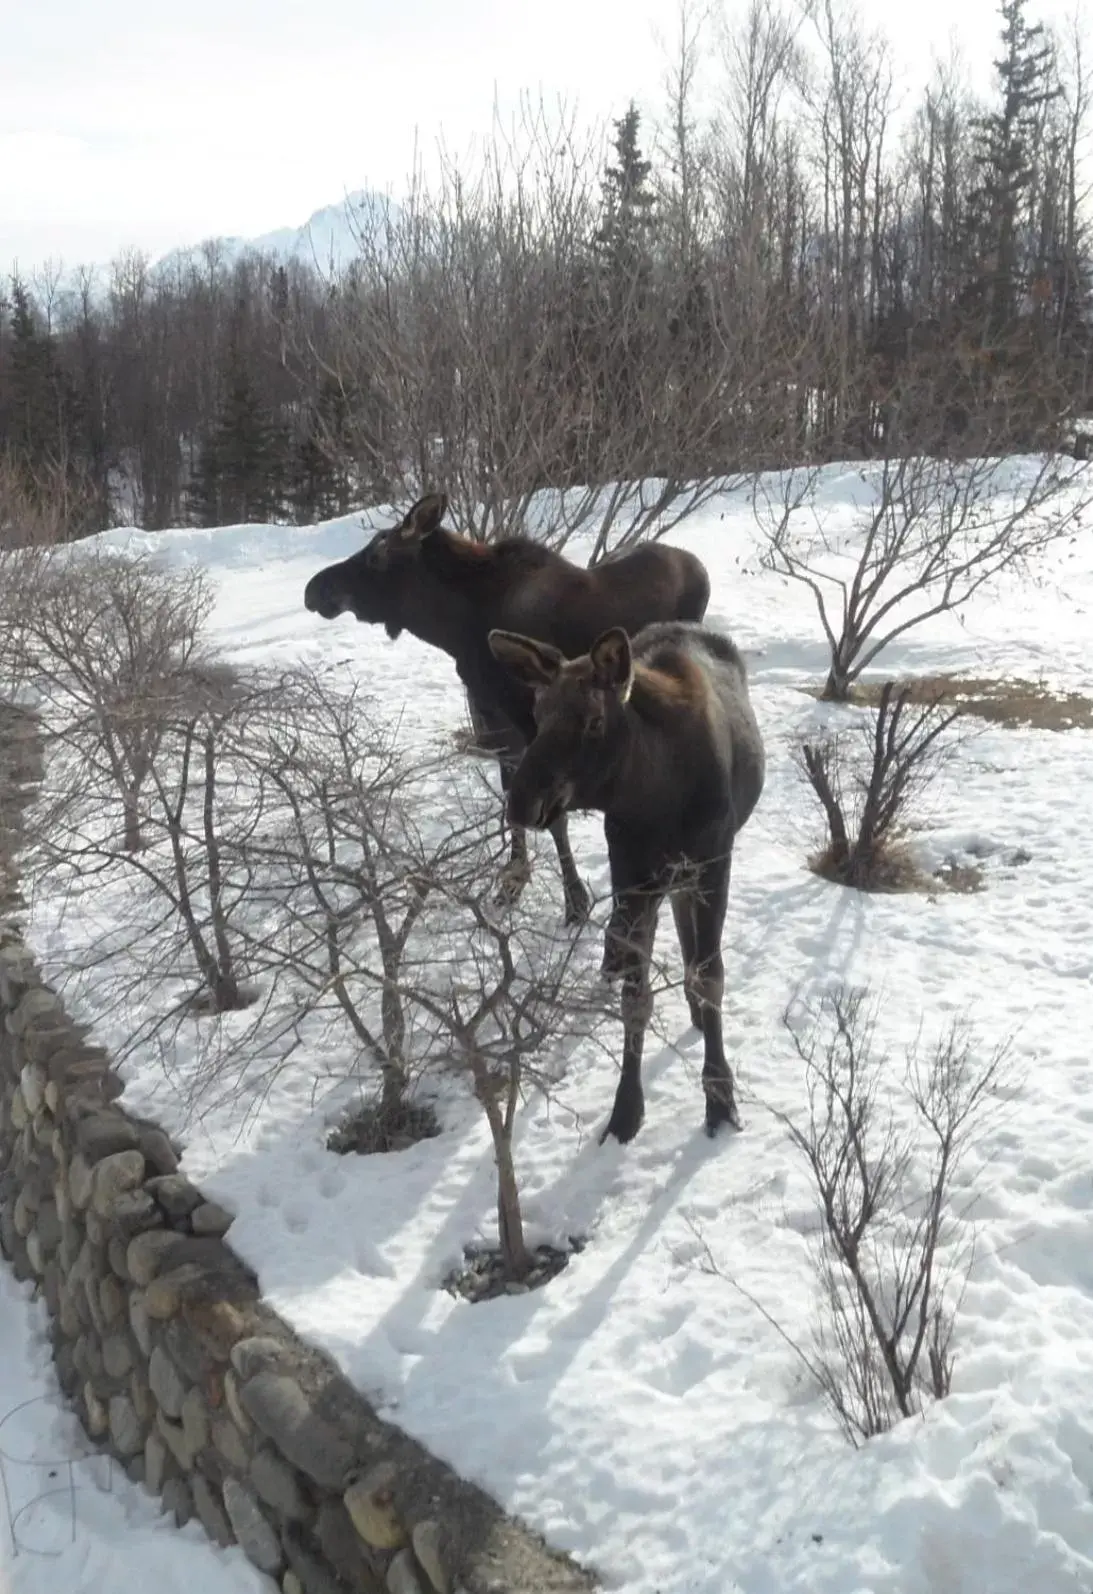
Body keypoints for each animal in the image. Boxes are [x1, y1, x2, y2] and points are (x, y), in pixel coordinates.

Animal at [301, 490, 710, 930]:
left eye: (377, 555)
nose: (314, 589)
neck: (454, 628)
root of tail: (698, 567)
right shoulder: (497, 720)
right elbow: (511, 797)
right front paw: (513, 882)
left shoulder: (532, 720)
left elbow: (552, 818)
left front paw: (575, 902)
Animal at [493, 612, 767, 1147]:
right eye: (538, 711)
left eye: (594, 721)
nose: (521, 800)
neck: (653, 797)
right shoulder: (632, 876)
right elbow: (634, 999)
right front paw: (625, 1110)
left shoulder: (713, 864)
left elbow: (711, 977)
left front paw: (721, 1100)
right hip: (660, 880)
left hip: (691, 871)